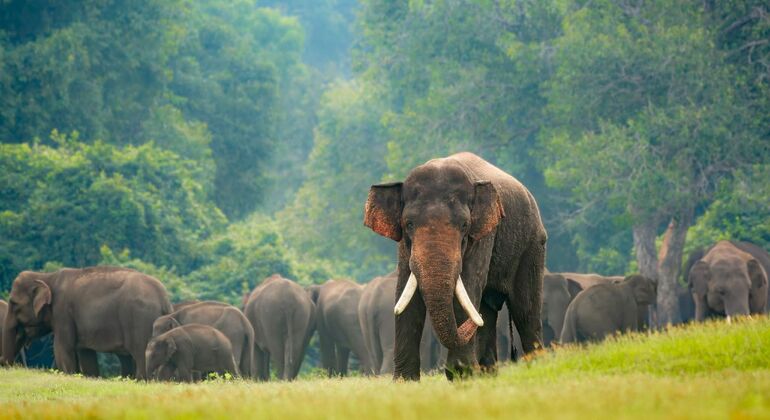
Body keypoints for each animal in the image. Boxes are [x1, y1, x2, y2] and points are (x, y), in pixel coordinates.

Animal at [3, 267, 172, 378]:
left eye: (14, 303)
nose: (7, 365)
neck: (47, 277)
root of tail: (163, 298)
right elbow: (85, 353)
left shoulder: (62, 312)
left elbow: (63, 348)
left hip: (139, 320)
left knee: (140, 354)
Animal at [364, 152, 547, 380]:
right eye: (408, 224)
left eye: (464, 225)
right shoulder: (405, 247)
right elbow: (406, 292)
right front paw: (405, 381)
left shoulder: (484, 235)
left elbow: (469, 283)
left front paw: (461, 374)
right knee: (487, 310)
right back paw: (487, 374)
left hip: (532, 245)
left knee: (524, 310)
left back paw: (538, 369)